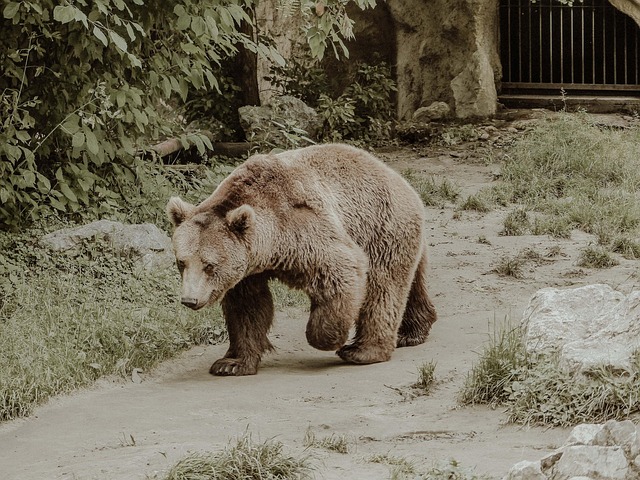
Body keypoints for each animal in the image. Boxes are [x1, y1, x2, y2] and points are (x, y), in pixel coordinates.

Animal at [166, 143, 437, 376]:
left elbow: (340, 268)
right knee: (413, 281)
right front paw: (231, 363)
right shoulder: (247, 268)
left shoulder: (300, 228)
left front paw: (327, 338)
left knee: (383, 286)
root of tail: (400, 179)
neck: (269, 245)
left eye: (209, 265)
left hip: (380, 226)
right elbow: (247, 308)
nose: (190, 300)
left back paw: (362, 351)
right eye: (181, 262)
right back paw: (411, 332)